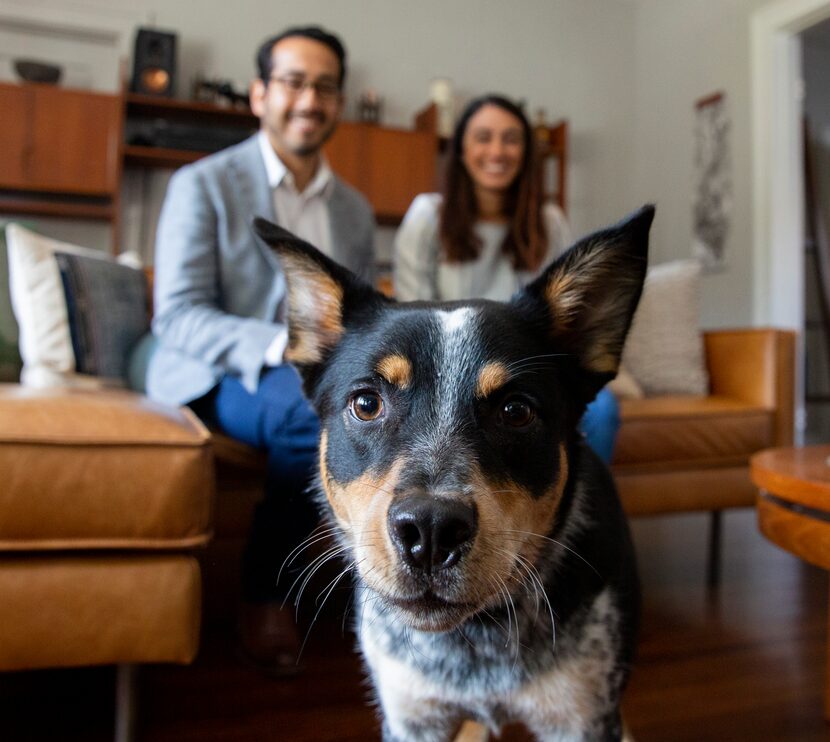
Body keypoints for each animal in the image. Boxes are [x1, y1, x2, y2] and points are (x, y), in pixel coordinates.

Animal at [255, 205, 656, 742]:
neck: (473, 638)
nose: (430, 528)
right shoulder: (412, 717)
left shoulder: (582, 717)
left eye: (515, 411)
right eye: (366, 403)